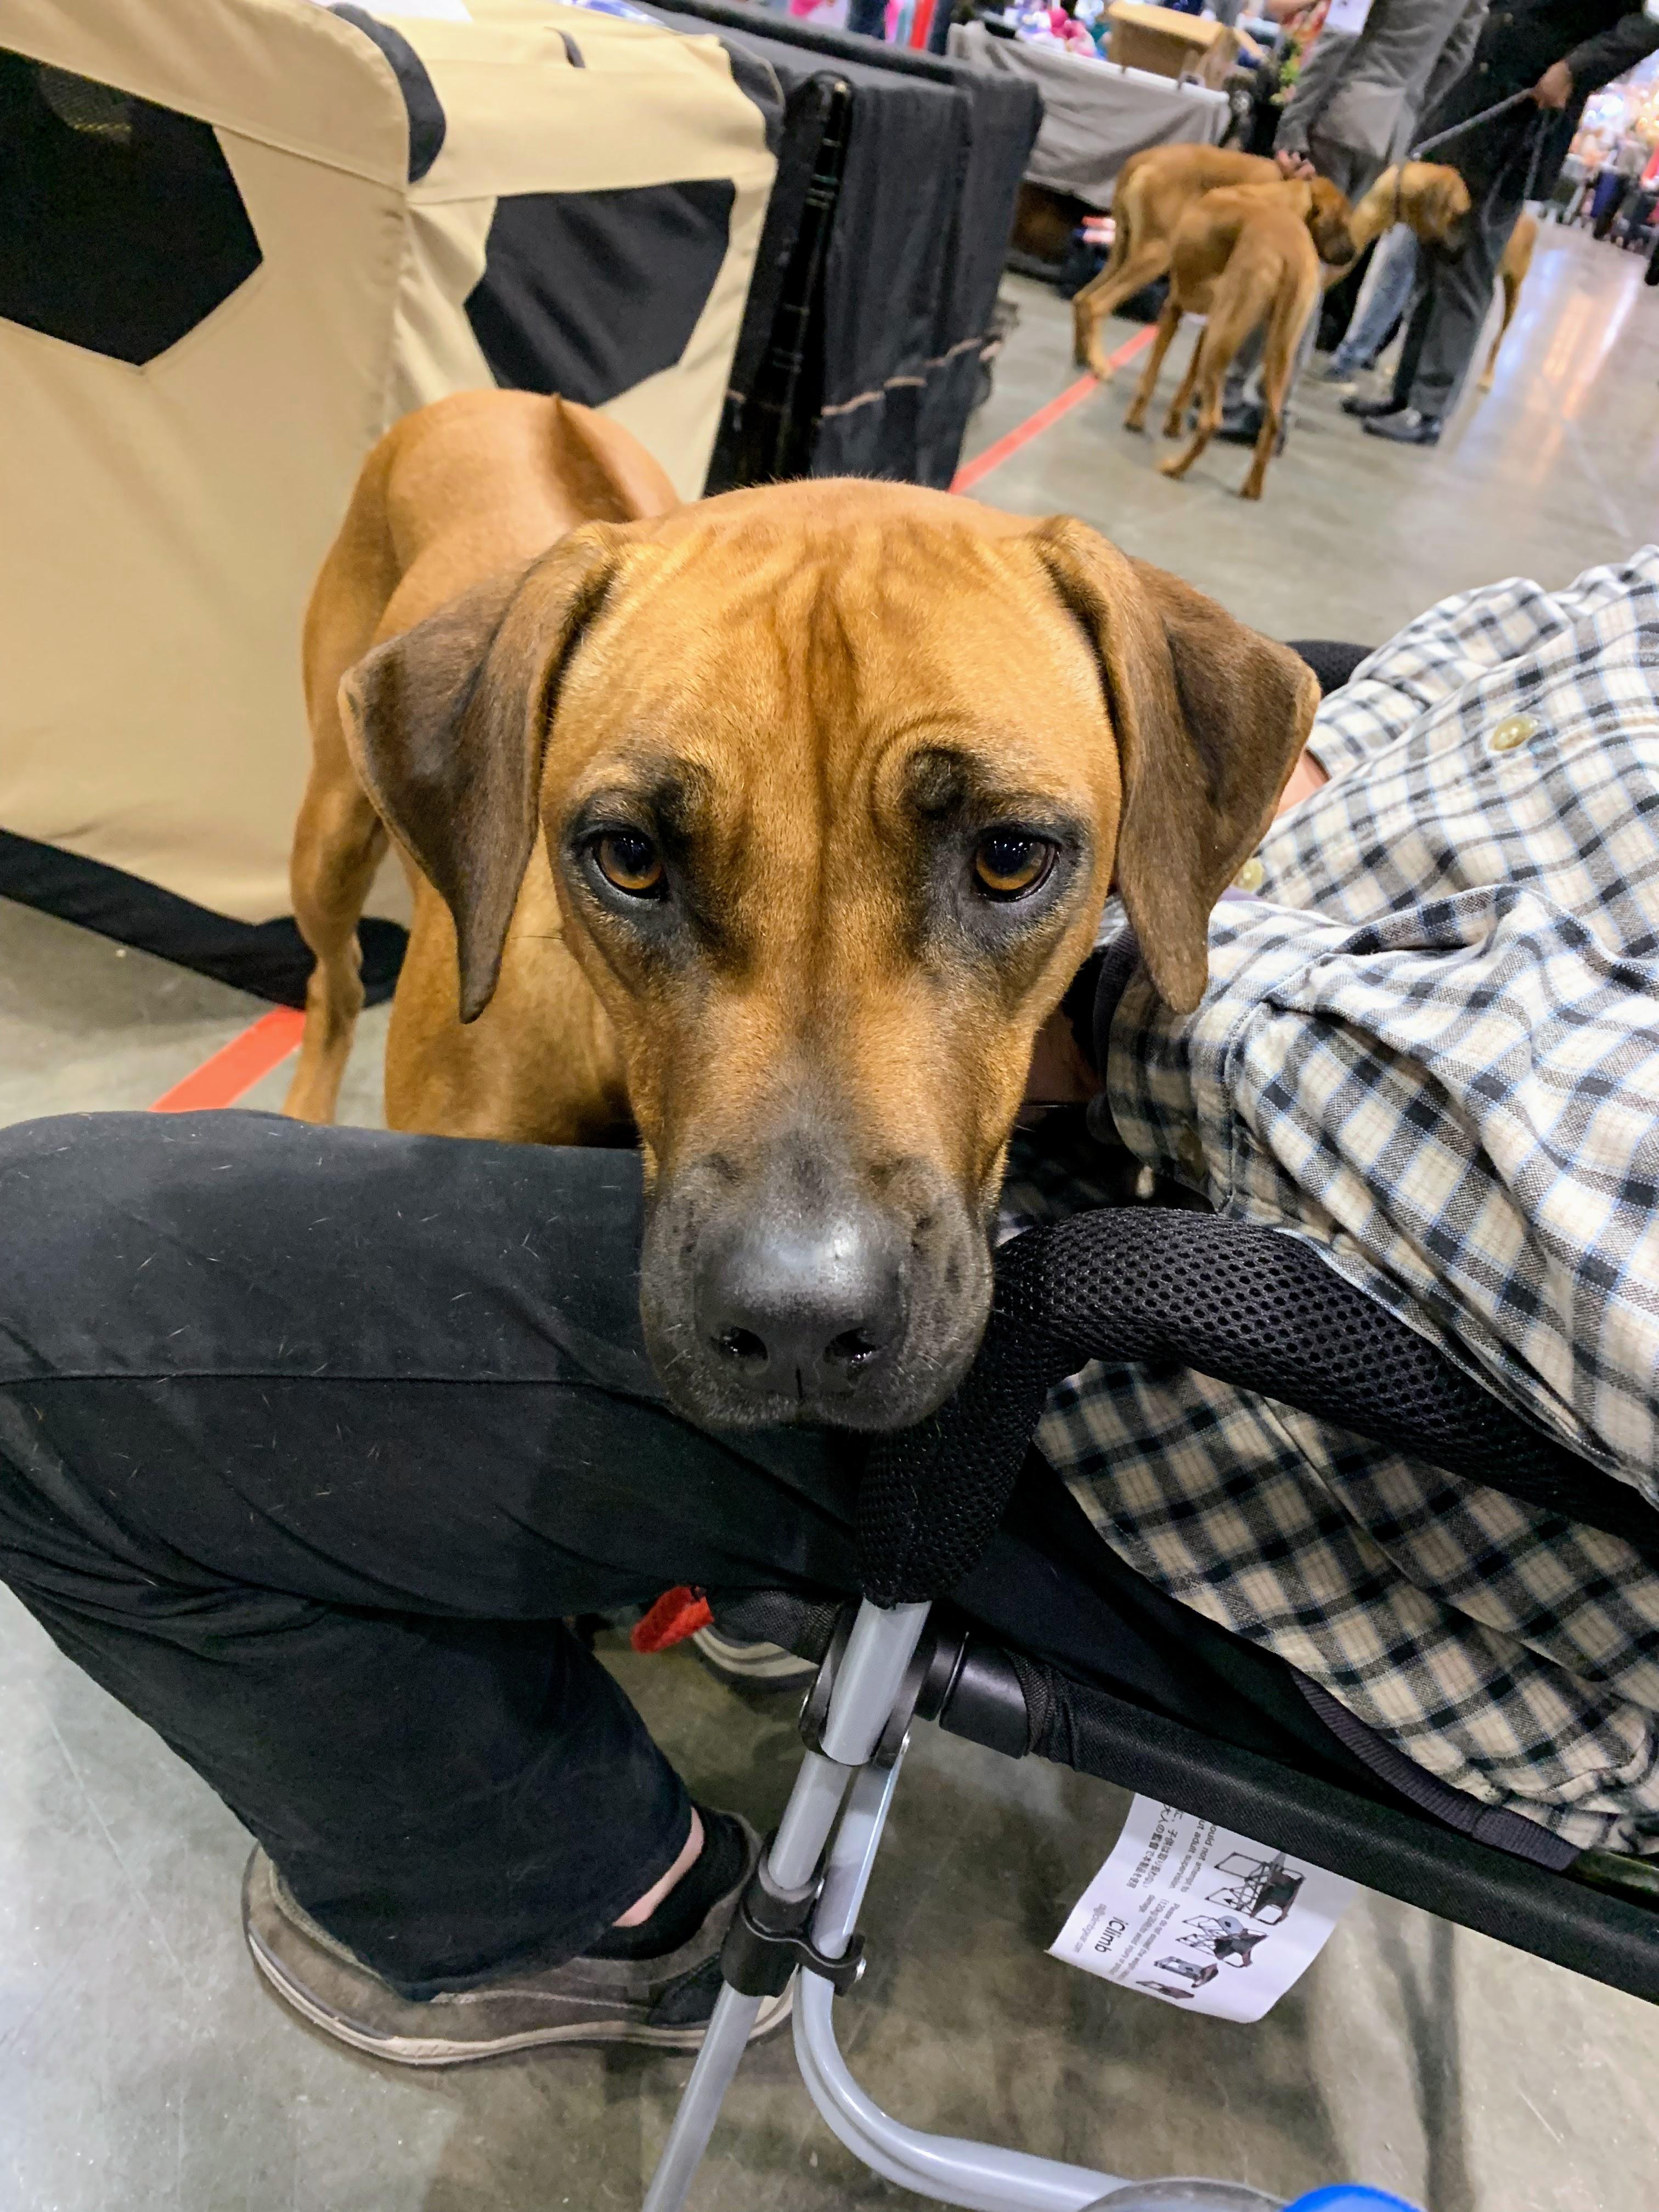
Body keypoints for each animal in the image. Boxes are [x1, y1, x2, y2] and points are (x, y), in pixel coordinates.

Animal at [1071, 144, 1281, 378]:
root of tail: (1143, 159)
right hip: (1156, 255)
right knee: (1096, 304)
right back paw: (1100, 364)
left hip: (1121, 251)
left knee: (1081, 298)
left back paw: (1082, 356)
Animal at [1123, 178, 1356, 500]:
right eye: (1342, 222)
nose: (1355, 253)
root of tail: (1289, 253)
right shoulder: (1208, 327)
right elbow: (1187, 382)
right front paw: (1173, 425)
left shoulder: (1174, 306)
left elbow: (1151, 374)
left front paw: (1135, 419)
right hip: (1273, 351)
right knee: (1273, 421)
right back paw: (1252, 488)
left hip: (1223, 340)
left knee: (1212, 421)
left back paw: (1176, 469)